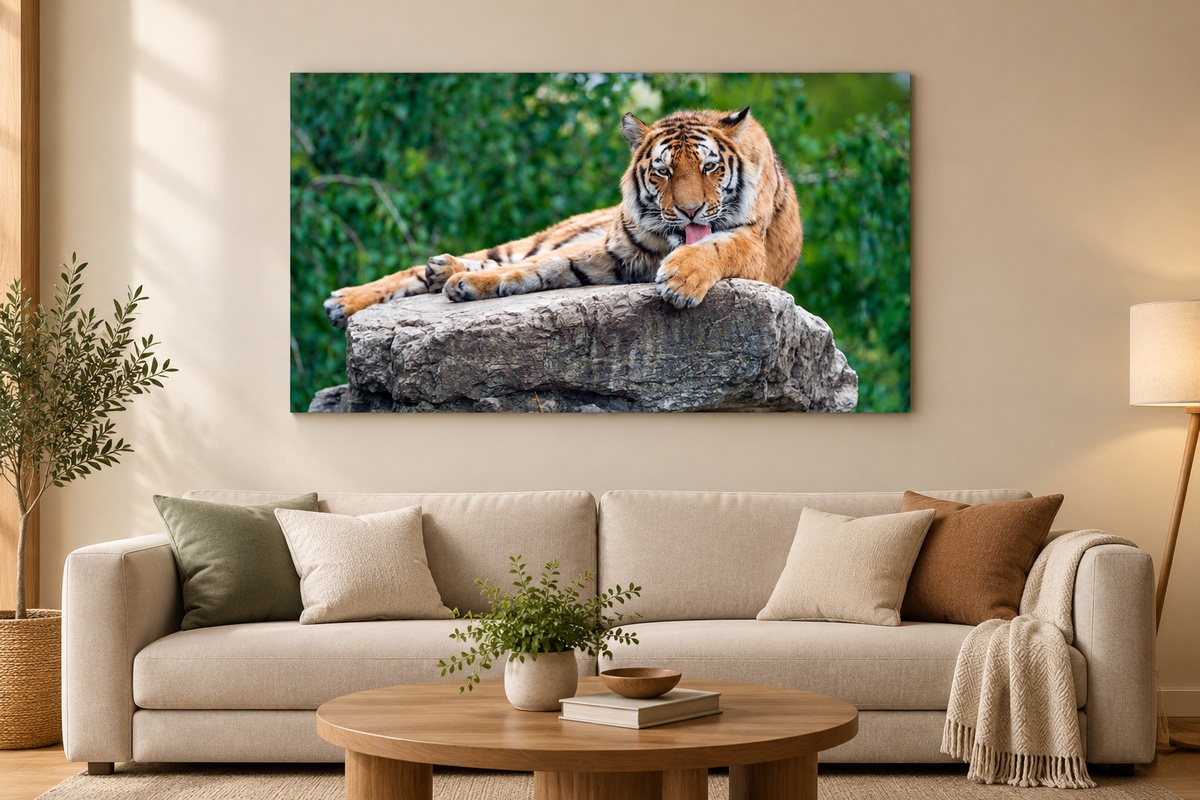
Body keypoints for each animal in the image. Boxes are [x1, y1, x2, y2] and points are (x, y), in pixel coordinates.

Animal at [324, 106, 803, 329]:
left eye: (709, 167)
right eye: (664, 171)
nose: (690, 210)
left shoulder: (753, 247)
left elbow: (716, 246)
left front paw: (681, 280)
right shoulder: (615, 248)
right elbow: (540, 265)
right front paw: (467, 285)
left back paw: (439, 270)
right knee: (484, 258)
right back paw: (347, 299)